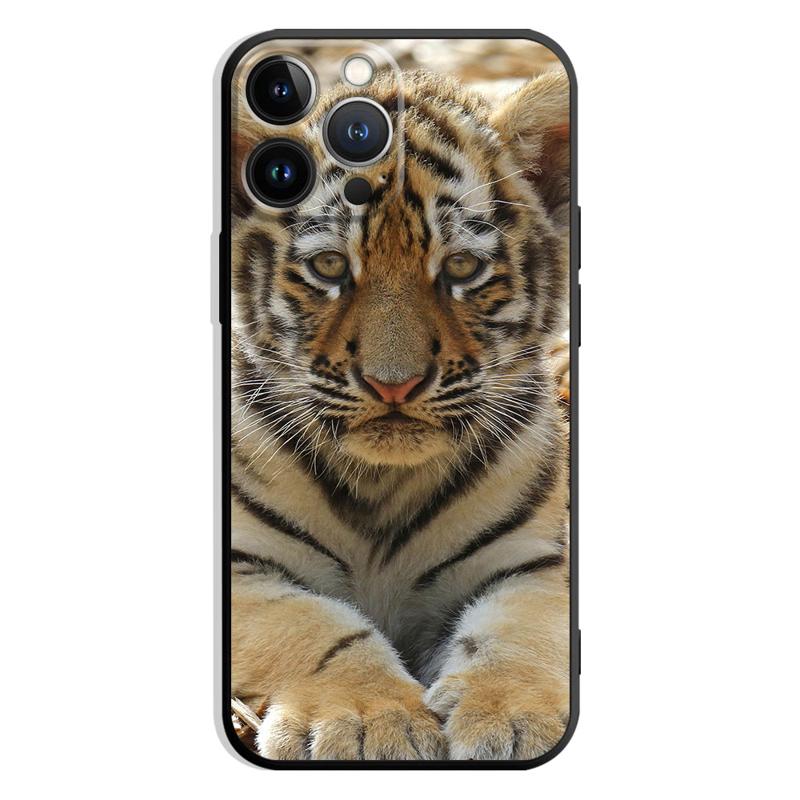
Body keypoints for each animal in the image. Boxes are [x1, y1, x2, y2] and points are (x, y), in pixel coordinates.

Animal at [229, 66, 573, 761]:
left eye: (461, 266)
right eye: (330, 265)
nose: (395, 385)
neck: (380, 486)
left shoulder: (533, 562)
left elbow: (519, 634)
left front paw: (512, 716)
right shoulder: (241, 563)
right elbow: (307, 624)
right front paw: (366, 722)